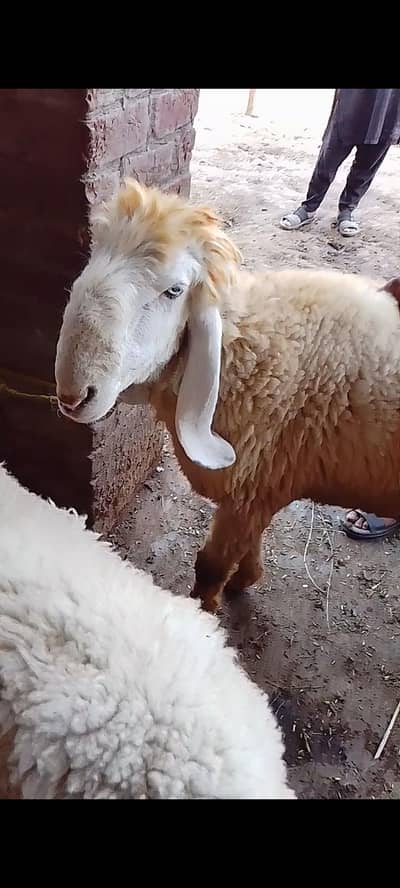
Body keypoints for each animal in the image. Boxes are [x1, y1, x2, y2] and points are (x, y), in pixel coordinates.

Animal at [55, 177, 400, 614]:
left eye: (174, 290)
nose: (74, 395)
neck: (244, 349)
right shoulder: (261, 490)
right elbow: (248, 544)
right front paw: (247, 578)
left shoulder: (250, 488)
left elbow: (210, 566)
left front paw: (204, 613)